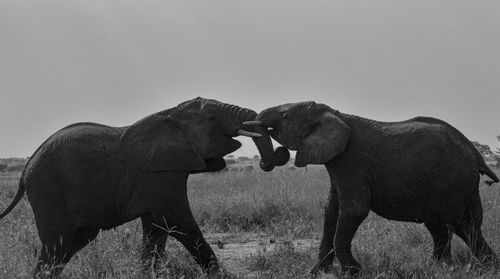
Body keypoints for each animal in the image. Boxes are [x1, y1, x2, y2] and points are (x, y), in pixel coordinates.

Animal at [0, 97, 290, 278]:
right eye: (210, 117)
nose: (272, 158)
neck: (171, 114)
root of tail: (25, 171)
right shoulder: (159, 175)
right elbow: (177, 221)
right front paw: (220, 276)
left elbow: (156, 230)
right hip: (49, 190)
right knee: (56, 243)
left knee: (69, 244)